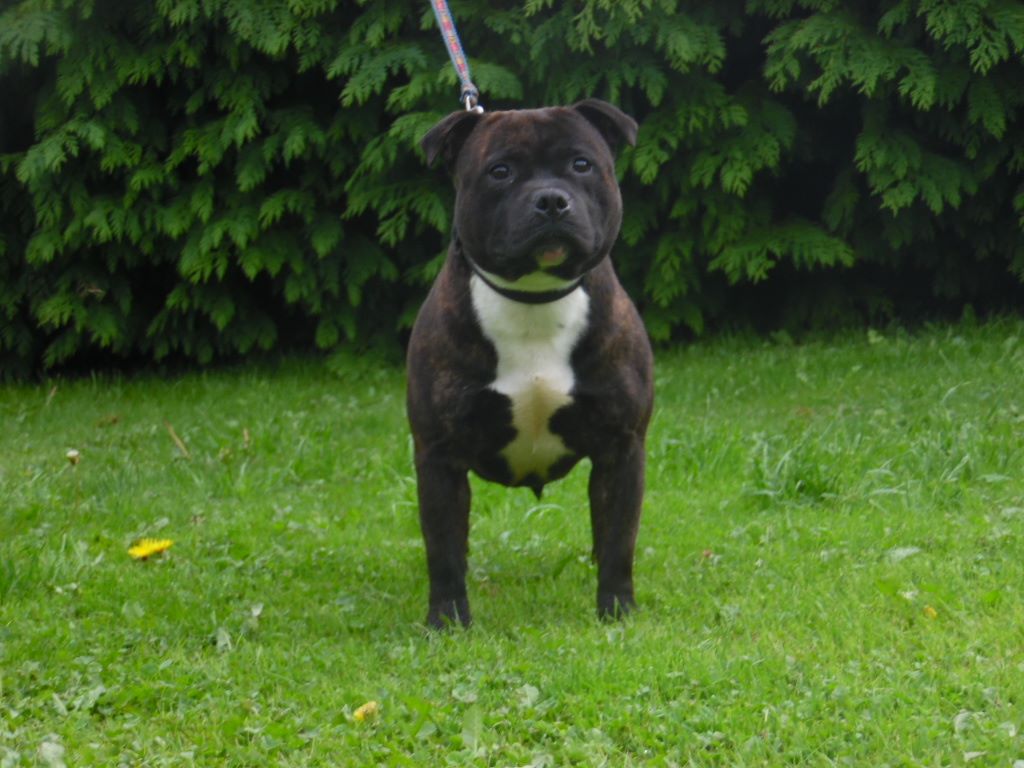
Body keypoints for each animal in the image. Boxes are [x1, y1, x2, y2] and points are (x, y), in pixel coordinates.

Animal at [405, 99, 651, 626]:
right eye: (500, 172)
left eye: (581, 164)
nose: (551, 200)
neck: (535, 297)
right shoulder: (438, 456)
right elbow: (444, 550)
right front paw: (448, 621)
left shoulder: (622, 447)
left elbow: (619, 540)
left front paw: (616, 610)